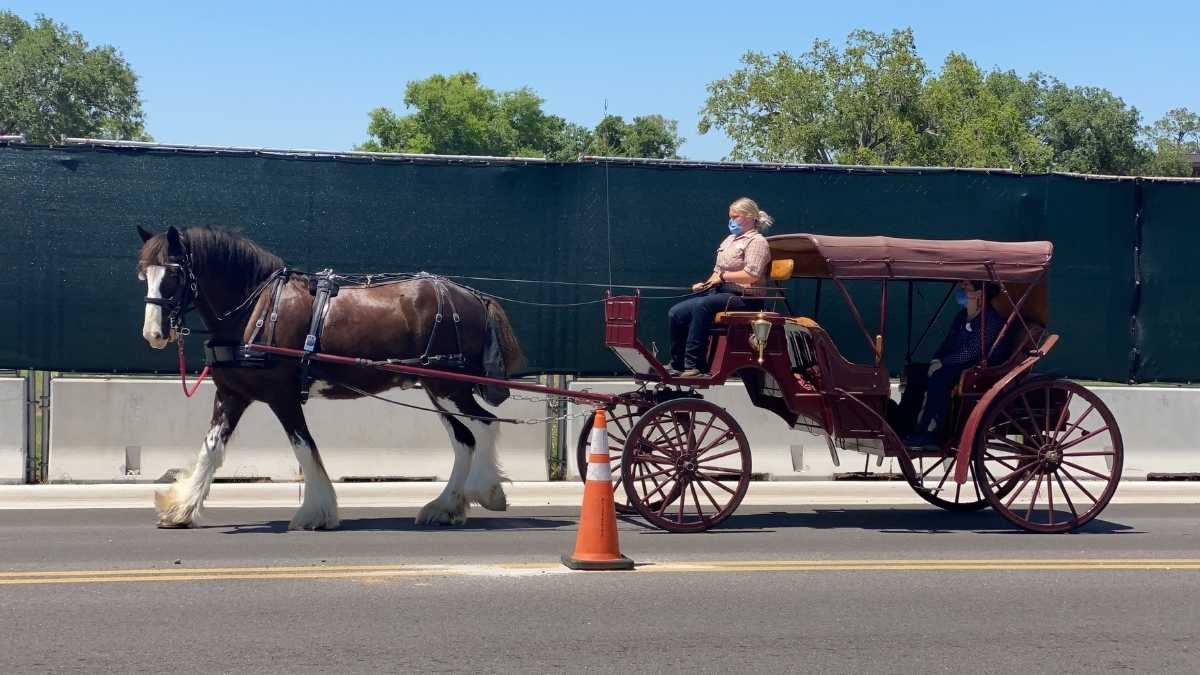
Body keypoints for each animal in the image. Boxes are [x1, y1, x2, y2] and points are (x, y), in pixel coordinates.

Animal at [133, 223, 523, 528]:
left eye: (174, 274)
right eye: (143, 275)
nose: (153, 334)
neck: (255, 310)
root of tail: (474, 297)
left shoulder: (282, 395)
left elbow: (304, 447)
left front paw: (315, 512)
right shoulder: (233, 393)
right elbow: (212, 449)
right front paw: (181, 509)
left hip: (447, 384)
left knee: (484, 425)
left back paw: (485, 490)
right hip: (437, 388)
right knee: (464, 439)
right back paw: (445, 506)